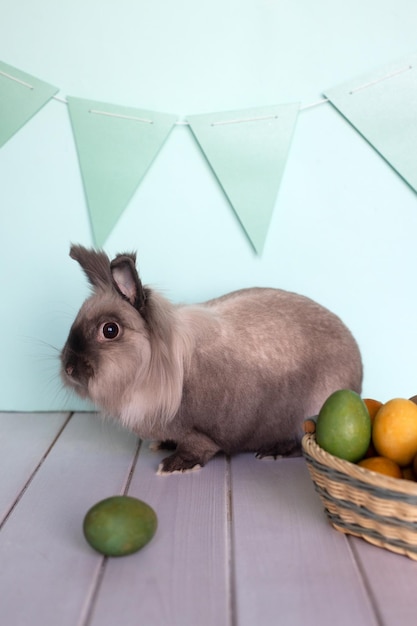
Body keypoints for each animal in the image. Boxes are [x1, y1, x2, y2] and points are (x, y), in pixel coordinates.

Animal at [60, 244, 362, 472]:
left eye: (110, 330)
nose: (69, 368)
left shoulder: (196, 430)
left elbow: (199, 447)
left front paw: (175, 465)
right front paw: (163, 445)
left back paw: (272, 451)